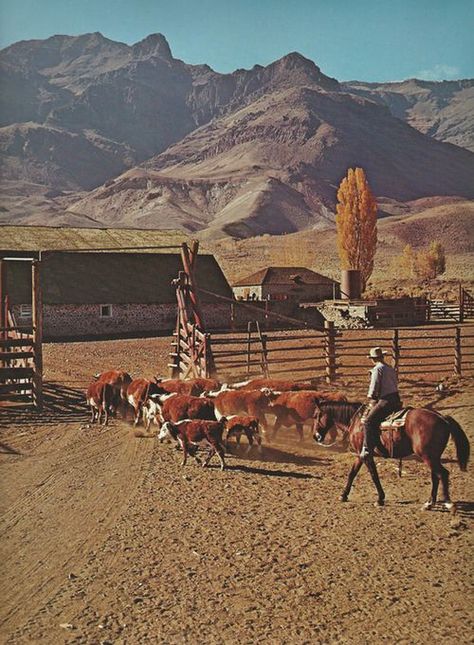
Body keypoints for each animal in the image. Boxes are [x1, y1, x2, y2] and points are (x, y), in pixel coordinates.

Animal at [312, 400, 470, 510]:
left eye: (317, 415)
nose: (315, 436)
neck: (356, 421)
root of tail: (442, 418)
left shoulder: (366, 455)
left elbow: (374, 476)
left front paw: (380, 499)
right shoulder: (359, 455)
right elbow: (352, 473)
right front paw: (343, 495)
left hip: (428, 456)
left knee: (442, 474)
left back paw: (447, 503)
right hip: (432, 456)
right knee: (436, 476)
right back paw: (429, 503)